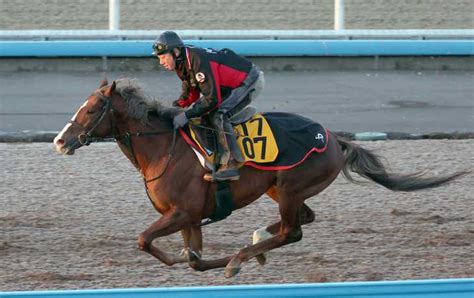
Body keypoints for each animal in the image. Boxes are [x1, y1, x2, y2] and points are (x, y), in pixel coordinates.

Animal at [53, 77, 468, 278]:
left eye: (91, 108)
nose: (60, 140)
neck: (162, 150)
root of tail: (333, 138)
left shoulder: (182, 213)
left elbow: (146, 240)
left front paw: (207, 260)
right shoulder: (191, 218)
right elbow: (194, 259)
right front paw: (198, 259)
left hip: (289, 187)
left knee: (292, 231)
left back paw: (243, 255)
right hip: (280, 190)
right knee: (303, 219)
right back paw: (255, 242)